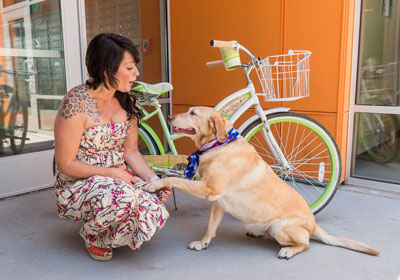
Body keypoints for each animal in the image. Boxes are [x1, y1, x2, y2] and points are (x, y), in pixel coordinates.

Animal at [147, 106, 378, 260]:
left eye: (193, 113)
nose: (169, 116)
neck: (219, 145)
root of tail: (313, 223)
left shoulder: (207, 189)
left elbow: (173, 178)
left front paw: (153, 184)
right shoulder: (217, 202)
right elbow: (210, 227)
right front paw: (203, 243)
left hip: (280, 227)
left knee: (306, 244)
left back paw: (288, 250)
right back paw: (257, 231)